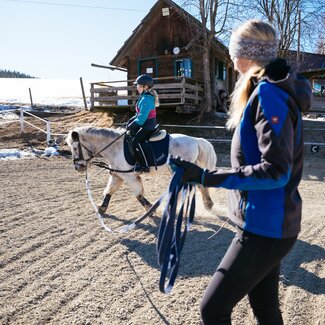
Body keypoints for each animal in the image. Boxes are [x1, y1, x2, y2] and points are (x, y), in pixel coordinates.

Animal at [66, 126, 216, 215]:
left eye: (75, 148)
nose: (77, 167)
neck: (114, 147)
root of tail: (196, 140)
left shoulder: (130, 177)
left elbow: (138, 194)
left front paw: (149, 209)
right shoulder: (117, 175)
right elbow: (109, 191)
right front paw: (102, 208)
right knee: (199, 185)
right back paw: (207, 204)